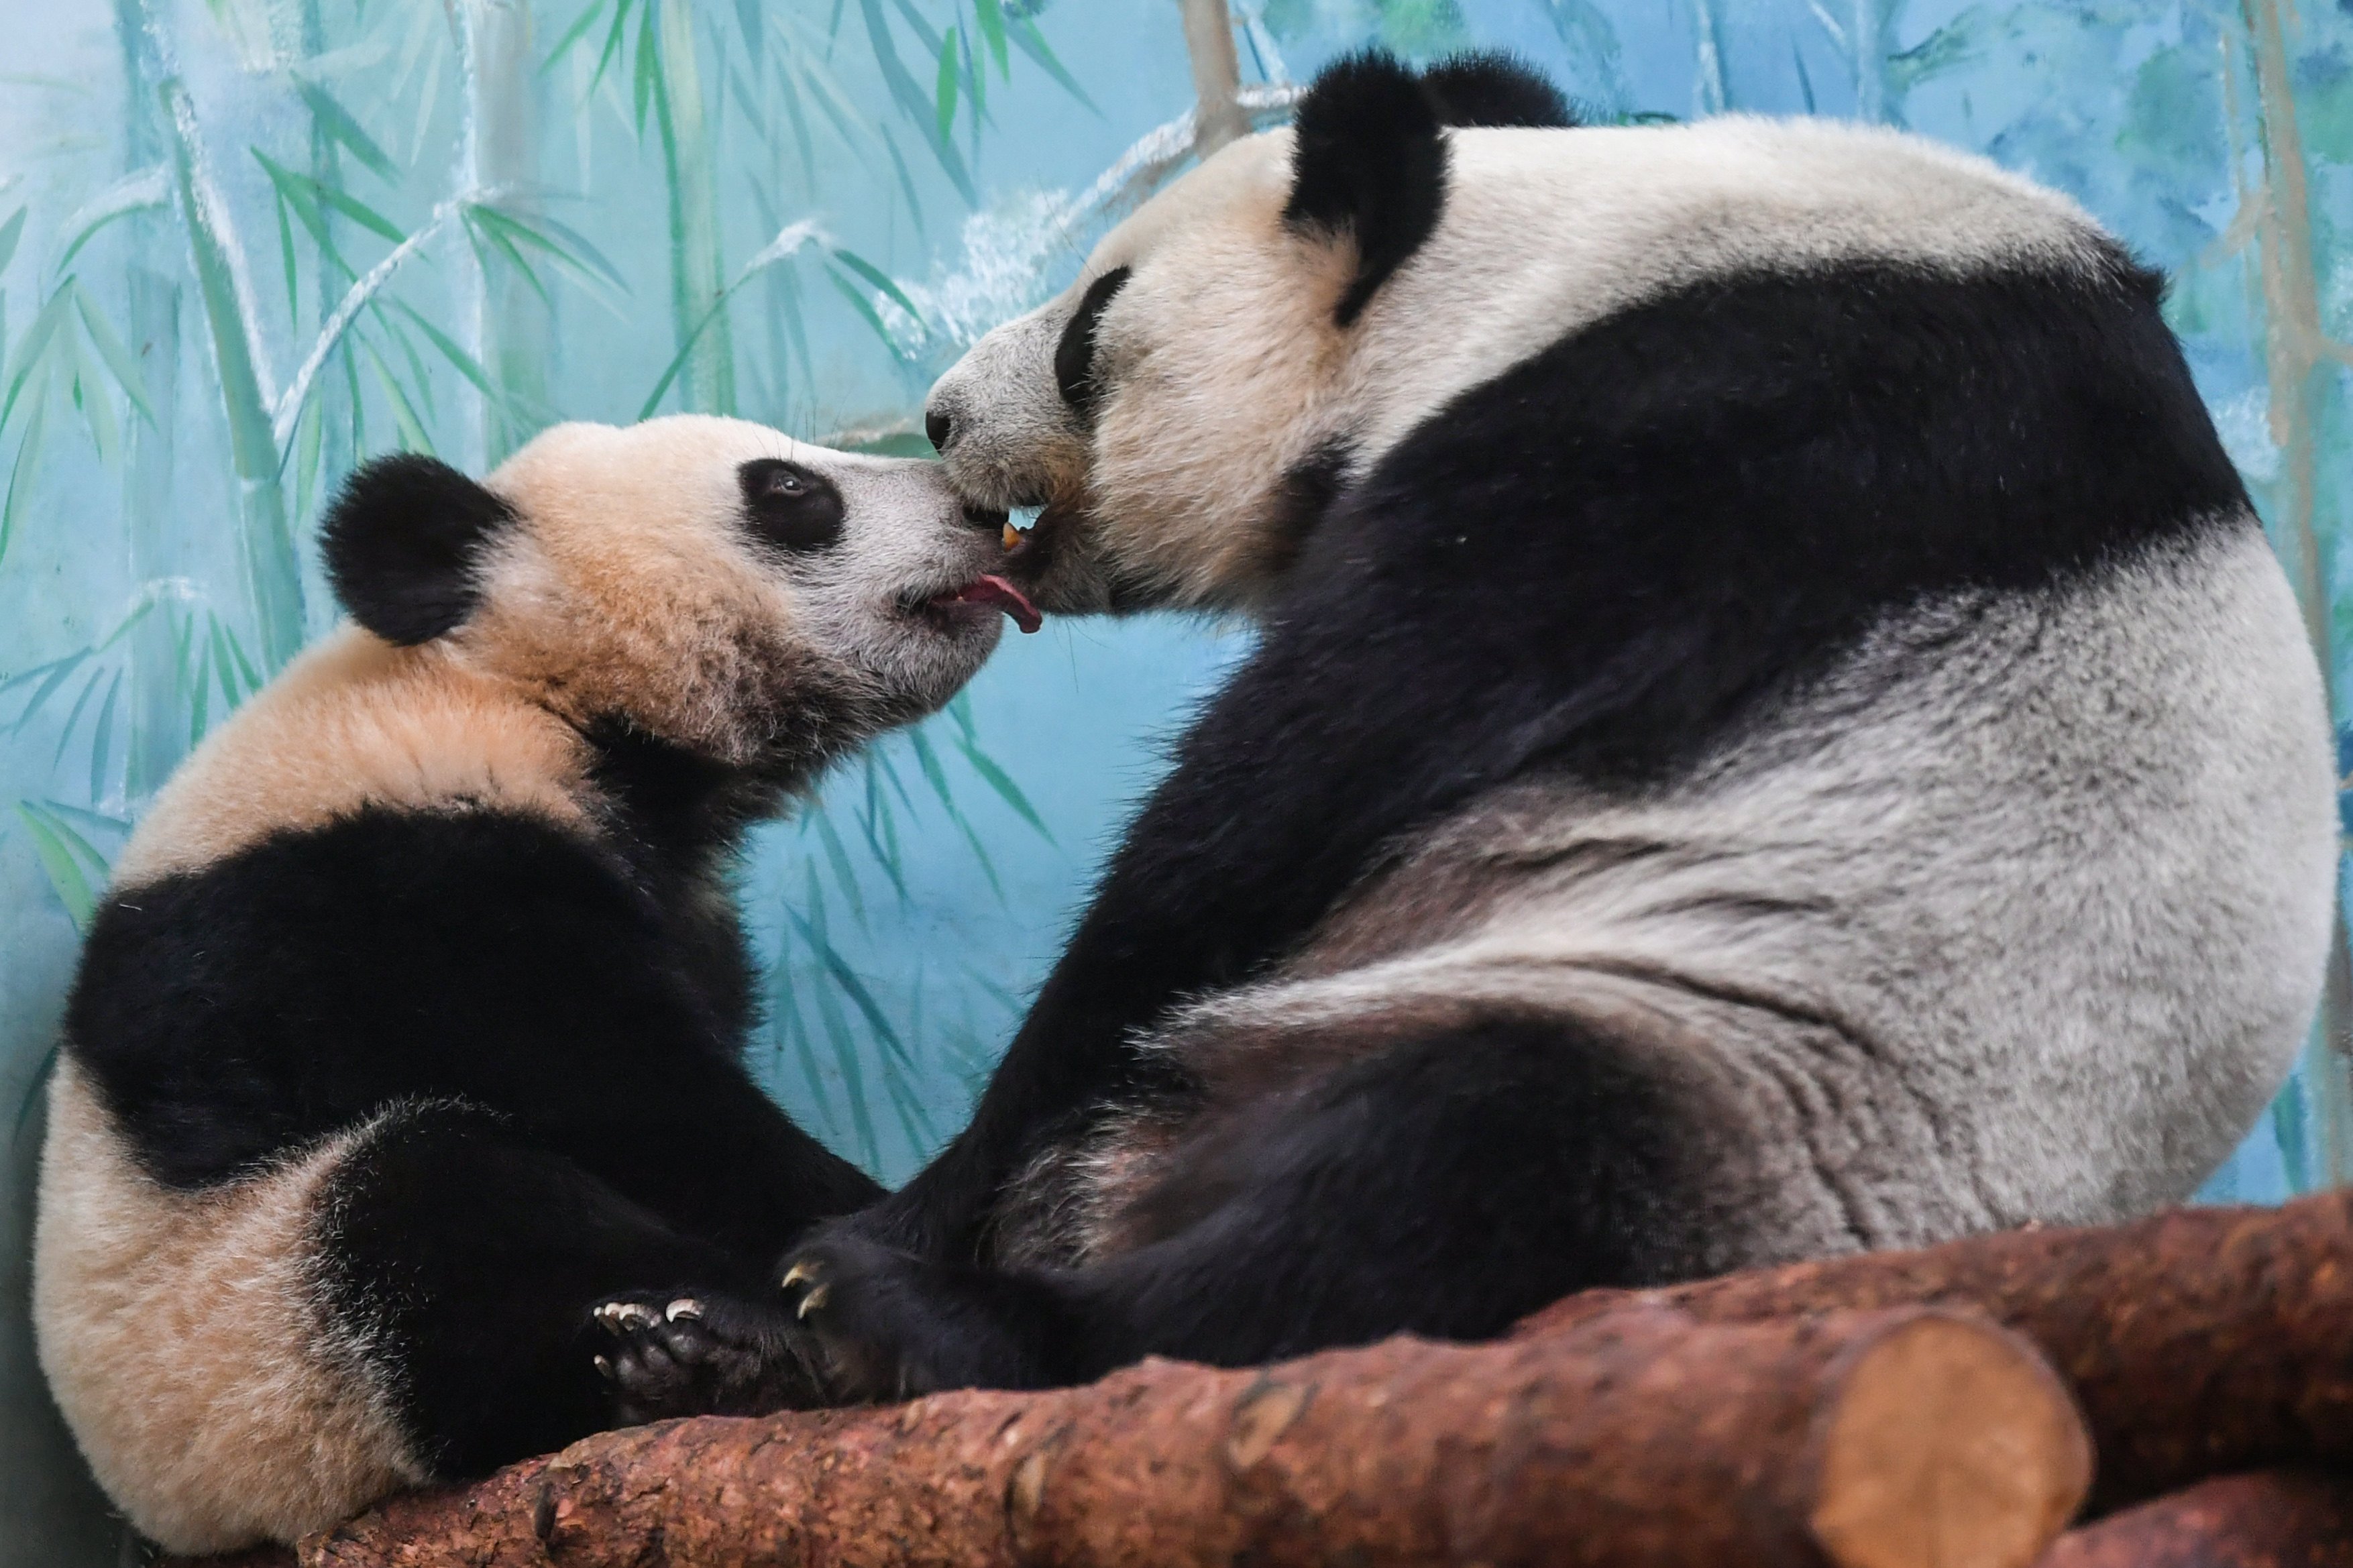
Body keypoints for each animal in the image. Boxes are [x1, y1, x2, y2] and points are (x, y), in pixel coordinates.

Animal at [28, 409, 1040, 1544]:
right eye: (788, 490)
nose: (987, 510)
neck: (513, 683)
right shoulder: (391, 884)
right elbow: (634, 1099)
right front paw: (874, 1244)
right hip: (249, 1344)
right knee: (428, 1213)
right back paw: (722, 1356)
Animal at [602, 52, 2334, 1403]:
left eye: (1093, 325)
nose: (947, 416)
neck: (1538, 258)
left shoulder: (1703, 435)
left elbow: (1264, 813)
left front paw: (872, 1234)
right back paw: (715, 1354)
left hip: (1759, 1067)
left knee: (1453, 1174)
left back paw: (947, 1321)